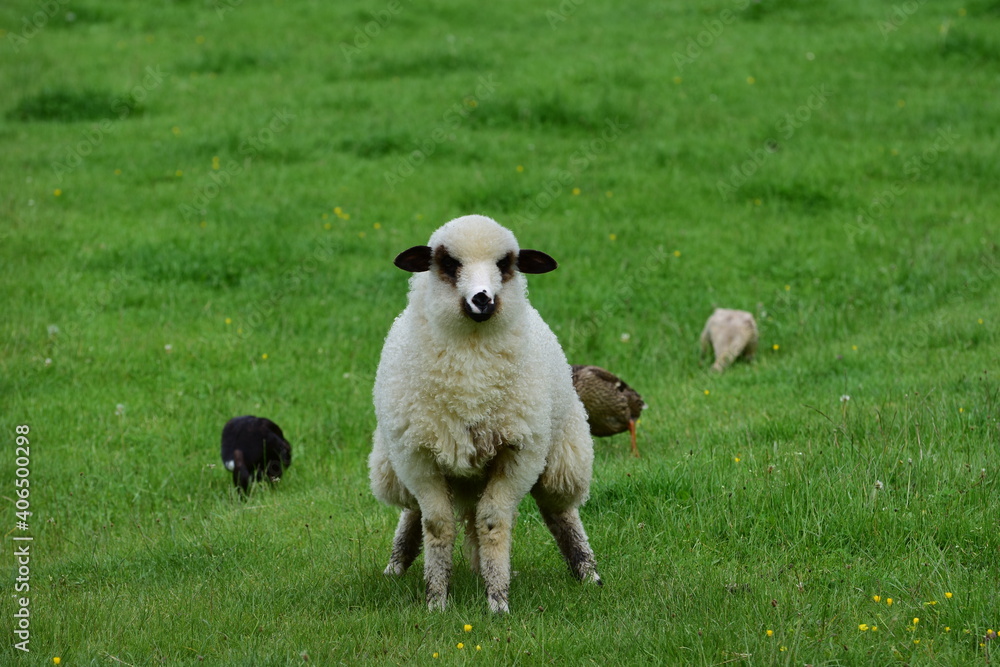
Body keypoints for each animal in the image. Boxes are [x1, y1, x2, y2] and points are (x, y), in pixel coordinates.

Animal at [368, 214, 602, 613]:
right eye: (449, 263)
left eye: (505, 263)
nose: (482, 298)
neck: (472, 360)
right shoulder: (416, 456)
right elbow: (436, 524)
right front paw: (437, 600)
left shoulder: (520, 453)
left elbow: (493, 521)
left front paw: (497, 601)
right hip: (395, 464)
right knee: (414, 513)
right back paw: (396, 566)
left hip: (561, 455)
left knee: (560, 513)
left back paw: (587, 573)